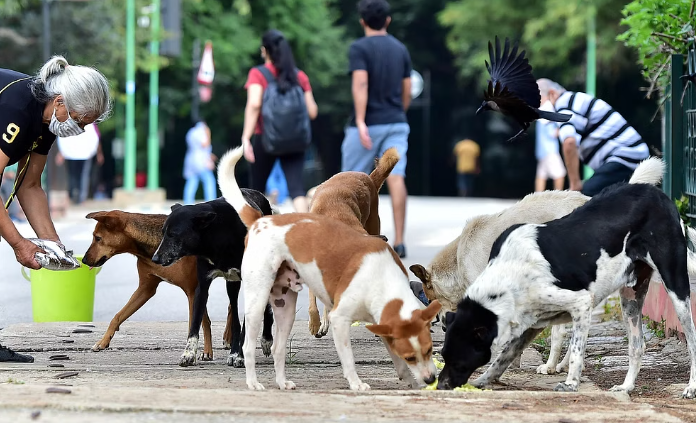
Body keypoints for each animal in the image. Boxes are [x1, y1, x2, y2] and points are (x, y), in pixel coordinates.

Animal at [82, 210, 234, 360]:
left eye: (98, 238)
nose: (84, 260)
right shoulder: (146, 289)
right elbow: (117, 316)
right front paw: (102, 342)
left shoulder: (192, 291)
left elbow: (197, 324)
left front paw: (199, 352)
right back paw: (228, 338)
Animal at [152, 190, 274, 370]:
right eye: (163, 233)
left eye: (173, 234)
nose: (155, 258)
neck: (218, 234)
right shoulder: (202, 285)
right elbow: (195, 323)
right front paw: (188, 354)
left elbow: (247, 325)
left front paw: (241, 356)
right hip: (232, 285)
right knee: (234, 316)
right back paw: (233, 351)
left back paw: (265, 340)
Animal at [218, 147, 440, 392]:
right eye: (412, 356)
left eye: (430, 350)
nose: (431, 379)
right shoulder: (338, 312)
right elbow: (345, 351)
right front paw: (355, 381)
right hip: (258, 299)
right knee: (249, 344)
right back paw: (254, 381)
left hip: (285, 305)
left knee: (278, 347)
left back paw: (283, 381)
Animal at [438, 160, 696, 400]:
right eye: (443, 356)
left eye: (459, 361)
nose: (440, 387)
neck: (510, 273)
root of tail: (655, 192)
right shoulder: (531, 323)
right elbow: (503, 358)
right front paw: (483, 381)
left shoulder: (580, 304)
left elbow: (576, 351)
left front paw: (571, 383)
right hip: (631, 298)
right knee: (637, 345)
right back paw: (626, 387)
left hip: (676, 287)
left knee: (692, 339)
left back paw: (691, 388)